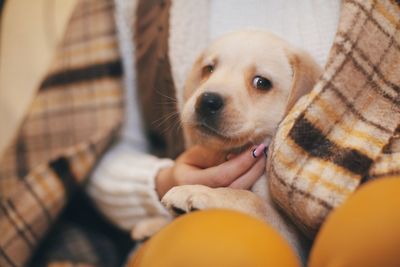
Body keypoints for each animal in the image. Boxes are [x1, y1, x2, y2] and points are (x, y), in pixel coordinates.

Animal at [161, 30, 320, 254]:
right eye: (208, 69)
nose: (207, 101)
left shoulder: (293, 238)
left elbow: (249, 199)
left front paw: (197, 191)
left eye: (262, 83)